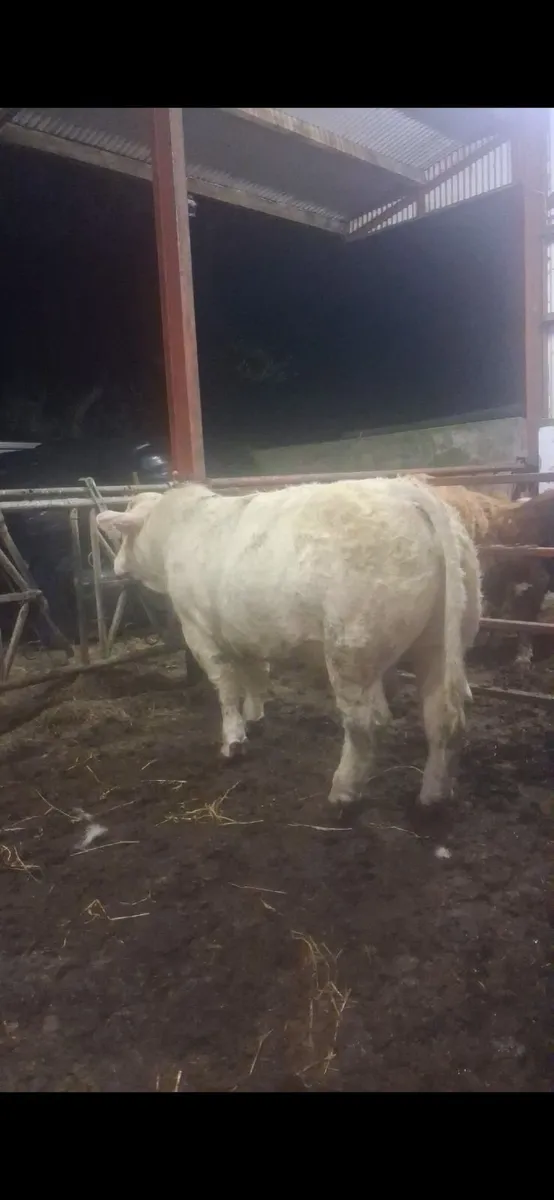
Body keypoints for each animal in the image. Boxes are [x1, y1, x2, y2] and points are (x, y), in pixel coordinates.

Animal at [97, 478, 481, 811]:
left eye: (123, 534)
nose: (116, 566)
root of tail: (404, 488)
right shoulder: (245, 629)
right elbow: (256, 675)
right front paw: (255, 717)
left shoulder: (199, 630)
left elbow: (226, 686)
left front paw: (233, 740)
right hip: (442, 640)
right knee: (442, 717)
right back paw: (433, 795)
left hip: (351, 649)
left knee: (366, 723)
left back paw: (343, 791)